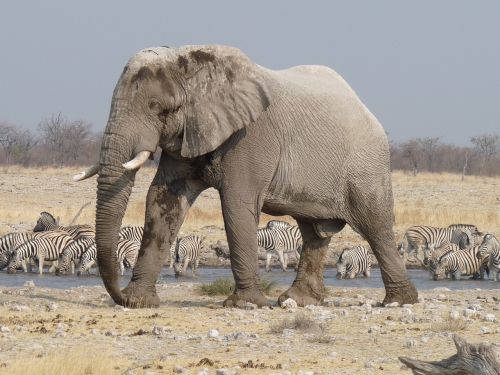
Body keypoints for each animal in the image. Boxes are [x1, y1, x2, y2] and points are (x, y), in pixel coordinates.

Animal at [75, 44, 418, 308]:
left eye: (157, 107)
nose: (118, 295)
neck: (193, 63)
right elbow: (163, 199)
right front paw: (138, 302)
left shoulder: (251, 136)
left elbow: (237, 203)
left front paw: (245, 305)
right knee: (314, 232)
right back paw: (297, 301)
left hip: (367, 164)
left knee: (375, 226)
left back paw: (399, 301)